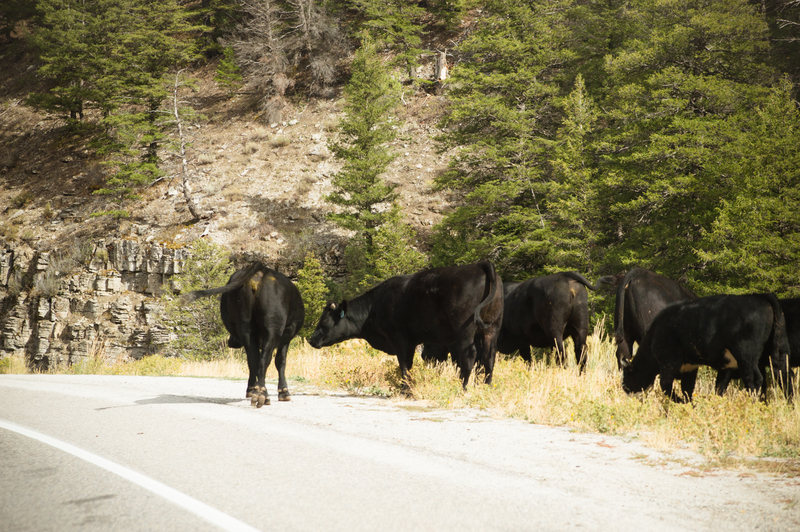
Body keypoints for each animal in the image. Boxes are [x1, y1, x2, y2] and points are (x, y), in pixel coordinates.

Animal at [181, 262, 305, 408]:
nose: (230, 342)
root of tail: (261, 270)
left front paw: (251, 389)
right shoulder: (287, 333)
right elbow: (280, 361)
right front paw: (284, 392)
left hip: (245, 327)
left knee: (254, 360)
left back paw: (257, 392)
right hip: (273, 327)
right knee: (264, 360)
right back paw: (262, 395)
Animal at [308, 261, 504, 388]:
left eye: (324, 320)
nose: (311, 339)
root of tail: (478, 265)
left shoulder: (400, 338)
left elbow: (404, 364)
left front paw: (405, 389)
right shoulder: (411, 341)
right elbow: (408, 365)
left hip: (464, 330)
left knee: (469, 356)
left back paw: (462, 387)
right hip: (492, 328)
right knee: (489, 357)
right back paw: (486, 386)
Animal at [622, 293, 790, 403]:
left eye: (626, 379)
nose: (625, 390)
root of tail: (760, 296)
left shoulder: (668, 363)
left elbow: (666, 386)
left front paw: (681, 402)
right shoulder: (689, 367)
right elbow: (687, 389)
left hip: (746, 357)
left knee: (754, 380)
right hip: (778, 354)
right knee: (782, 377)